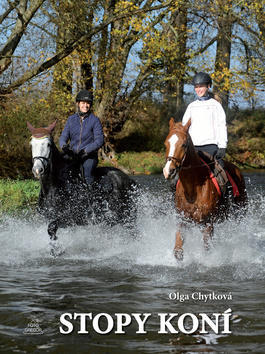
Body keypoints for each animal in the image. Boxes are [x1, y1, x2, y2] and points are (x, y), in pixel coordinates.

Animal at [162, 119, 246, 260]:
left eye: (184, 144)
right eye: (166, 143)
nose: (169, 171)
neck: (192, 188)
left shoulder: (207, 224)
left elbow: (207, 250)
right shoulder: (183, 222)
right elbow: (178, 251)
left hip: (239, 215)